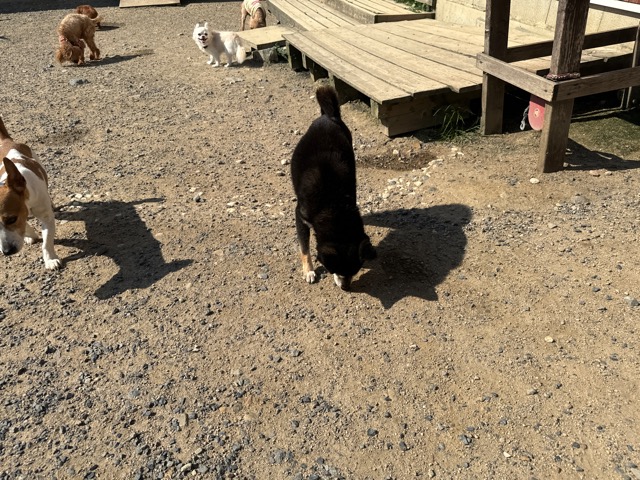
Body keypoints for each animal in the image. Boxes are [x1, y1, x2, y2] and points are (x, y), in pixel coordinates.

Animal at [0, 117, 61, 270]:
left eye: (12, 219)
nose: (7, 251)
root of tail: (6, 141)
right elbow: (26, 225)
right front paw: (30, 235)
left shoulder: (46, 217)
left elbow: (47, 242)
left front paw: (50, 259)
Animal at [290, 86, 376, 290]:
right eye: (334, 269)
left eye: (355, 271)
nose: (346, 287)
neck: (332, 204)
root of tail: (329, 116)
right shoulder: (300, 216)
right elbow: (304, 248)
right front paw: (309, 270)